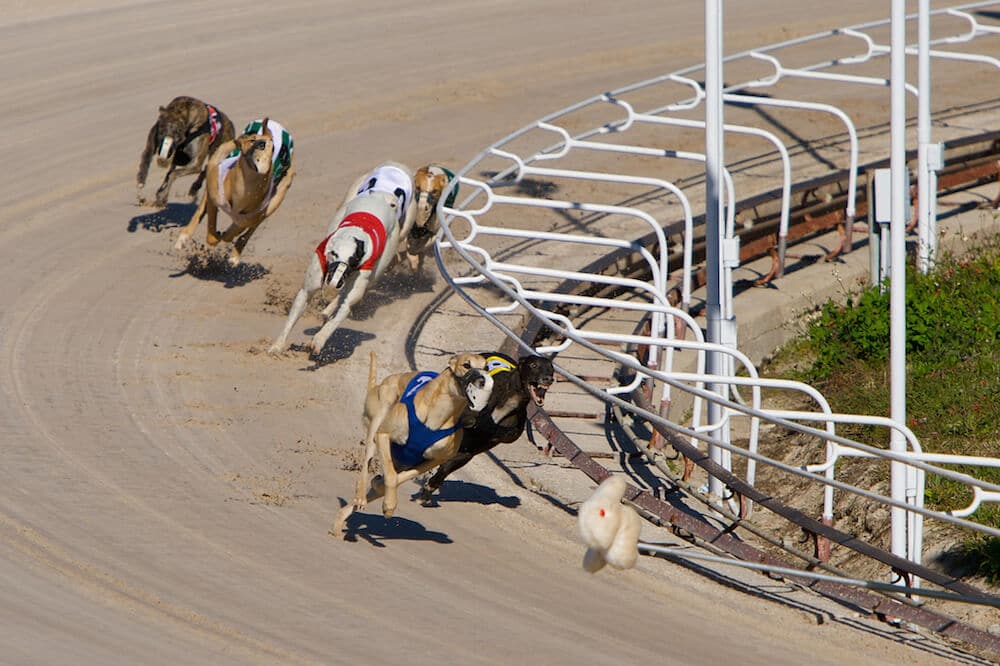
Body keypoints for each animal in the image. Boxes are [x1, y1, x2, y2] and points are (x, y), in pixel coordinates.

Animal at [334, 348, 494, 536]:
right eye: (466, 365)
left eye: (486, 368)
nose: (482, 380)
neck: (440, 414)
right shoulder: (383, 435)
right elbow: (390, 476)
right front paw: (389, 505)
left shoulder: (433, 460)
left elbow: (398, 478)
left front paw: (385, 495)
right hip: (382, 411)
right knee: (367, 461)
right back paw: (360, 495)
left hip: (402, 460)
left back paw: (340, 522)